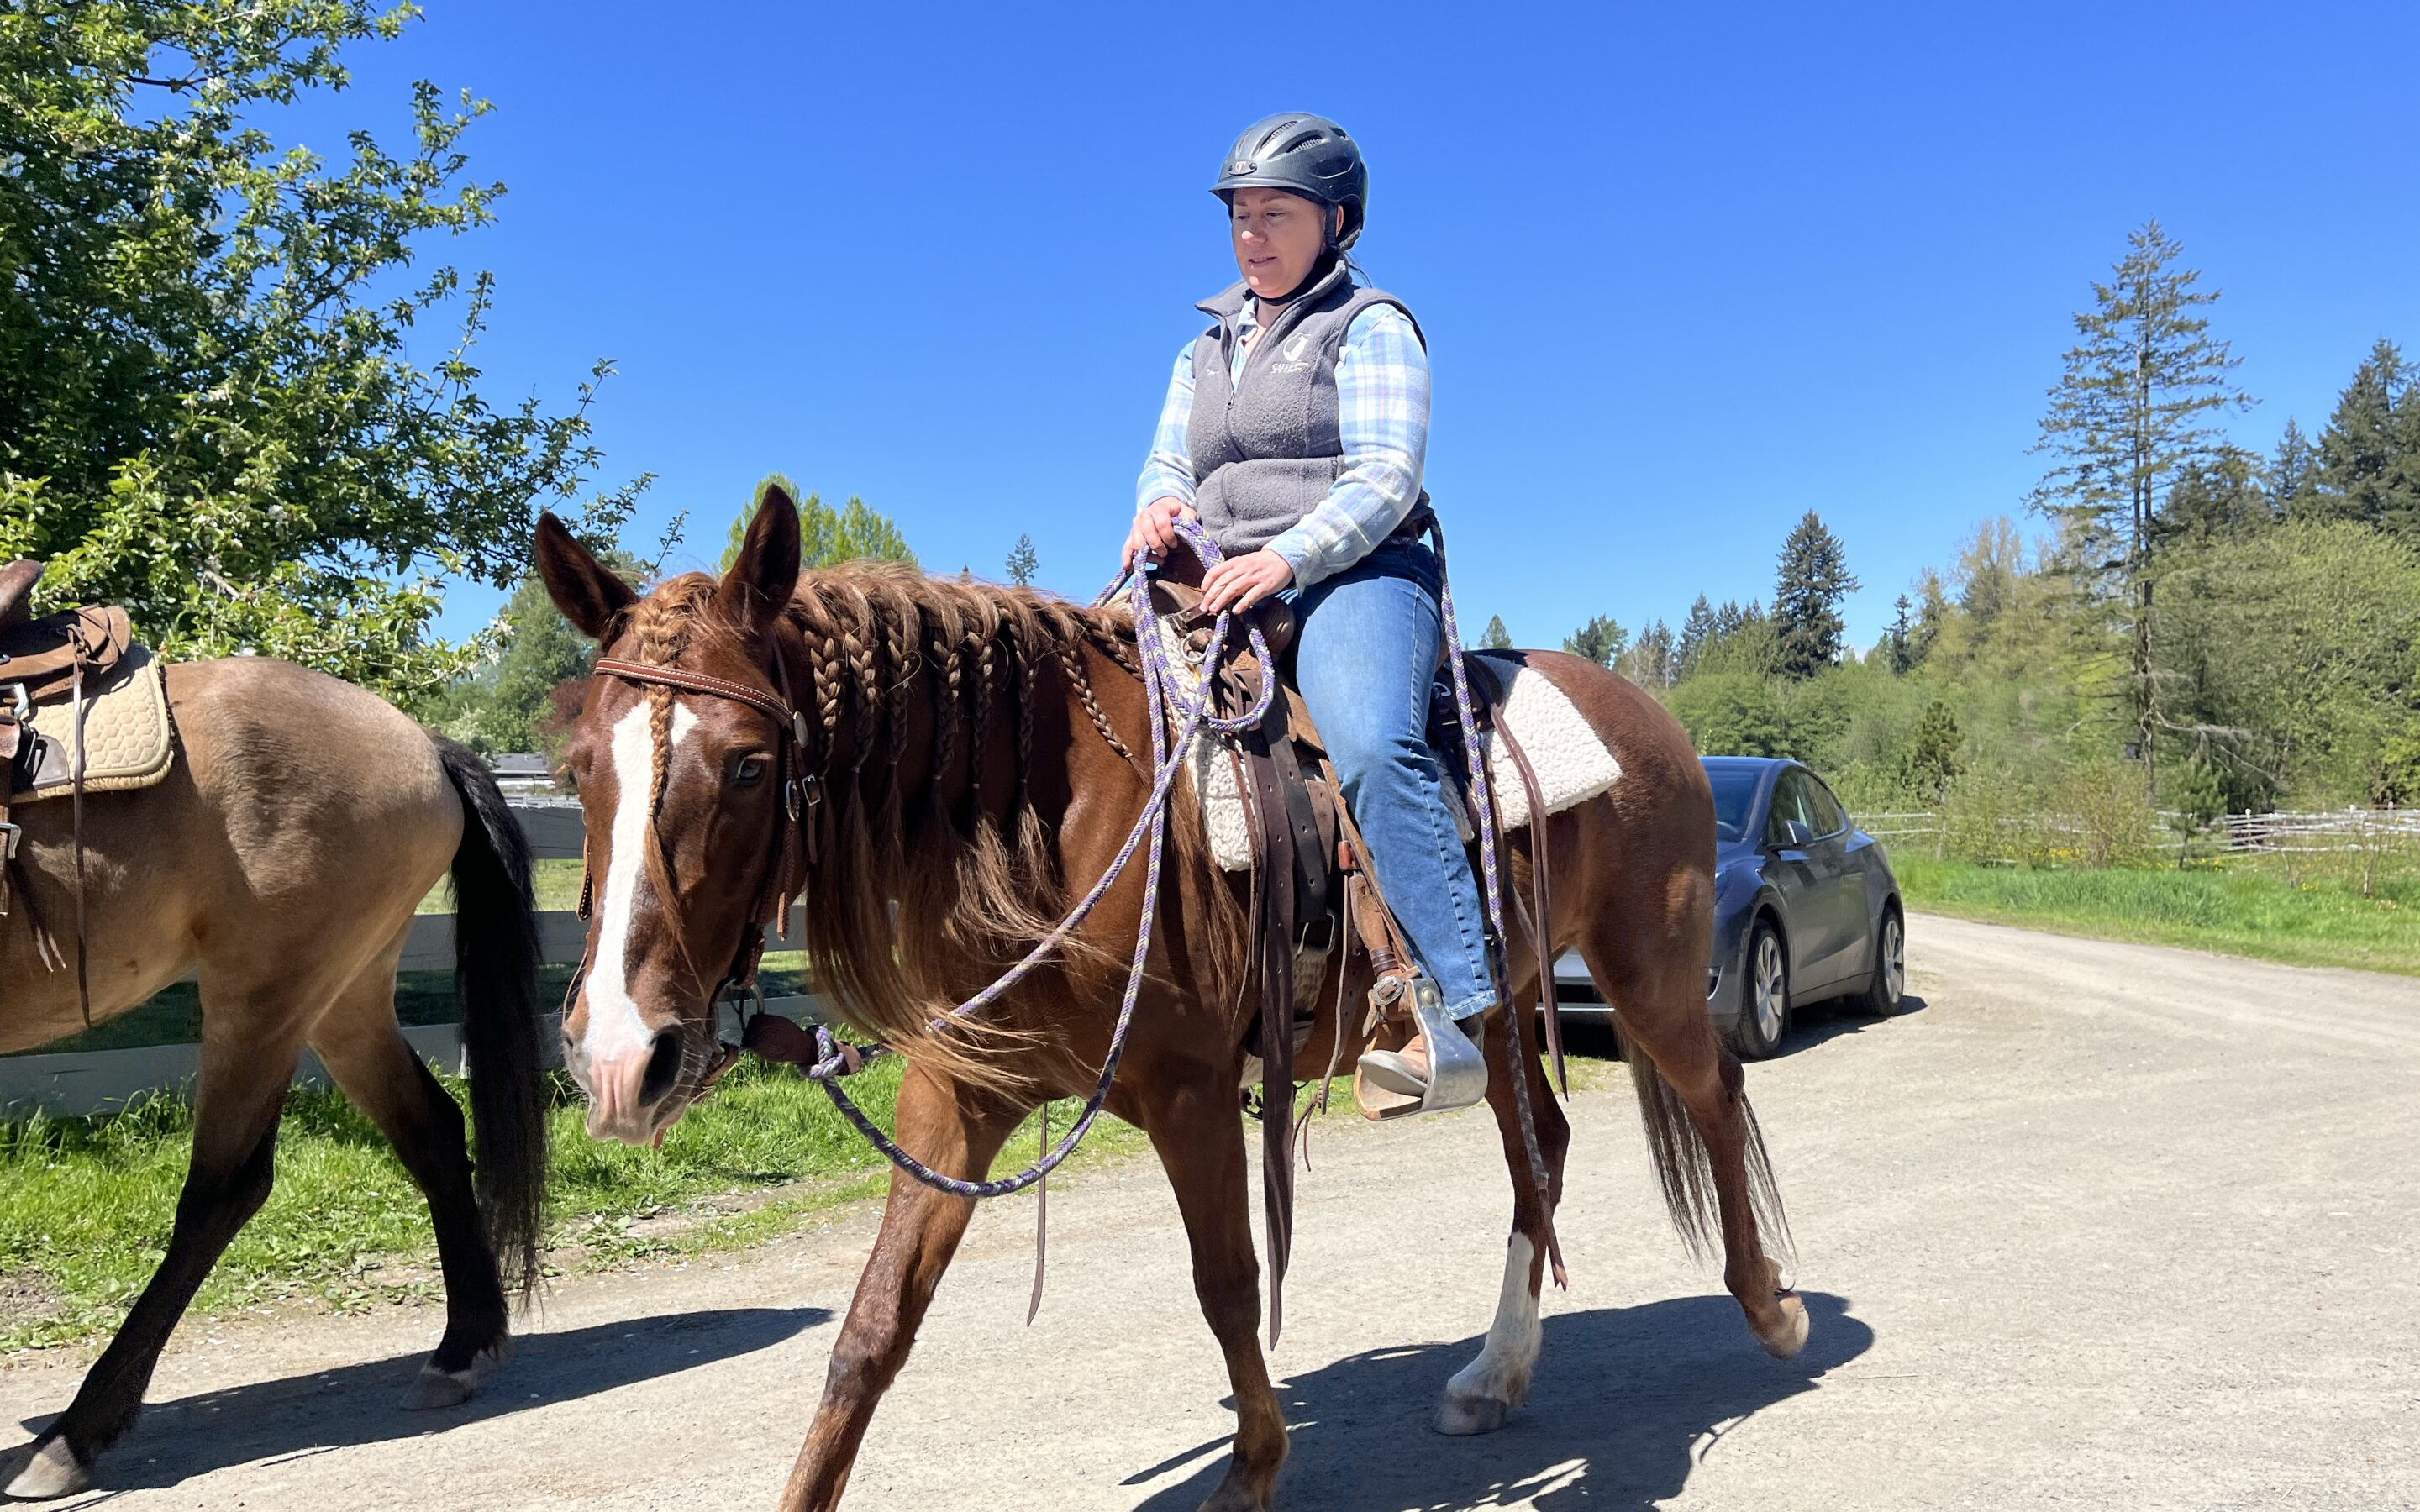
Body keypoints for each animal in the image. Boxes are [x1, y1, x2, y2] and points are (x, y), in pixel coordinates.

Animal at [0, 568, 549, 1499]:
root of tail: (422, 744)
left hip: (264, 998)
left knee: (222, 1192)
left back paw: (76, 1435)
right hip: (342, 998)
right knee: (432, 1132)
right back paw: (460, 1349)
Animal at [539, 486, 1810, 1509]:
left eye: (752, 764)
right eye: (577, 769)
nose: (619, 1059)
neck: (1042, 821)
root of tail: (1652, 721)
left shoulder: (1189, 1090)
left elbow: (1229, 1284)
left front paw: (1254, 1465)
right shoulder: (957, 1097)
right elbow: (872, 1329)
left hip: (1648, 973)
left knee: (1713, 1089)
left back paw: (1772, 1306)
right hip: (1498, 1010)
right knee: (1537, 1142)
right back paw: (1495, 1375)